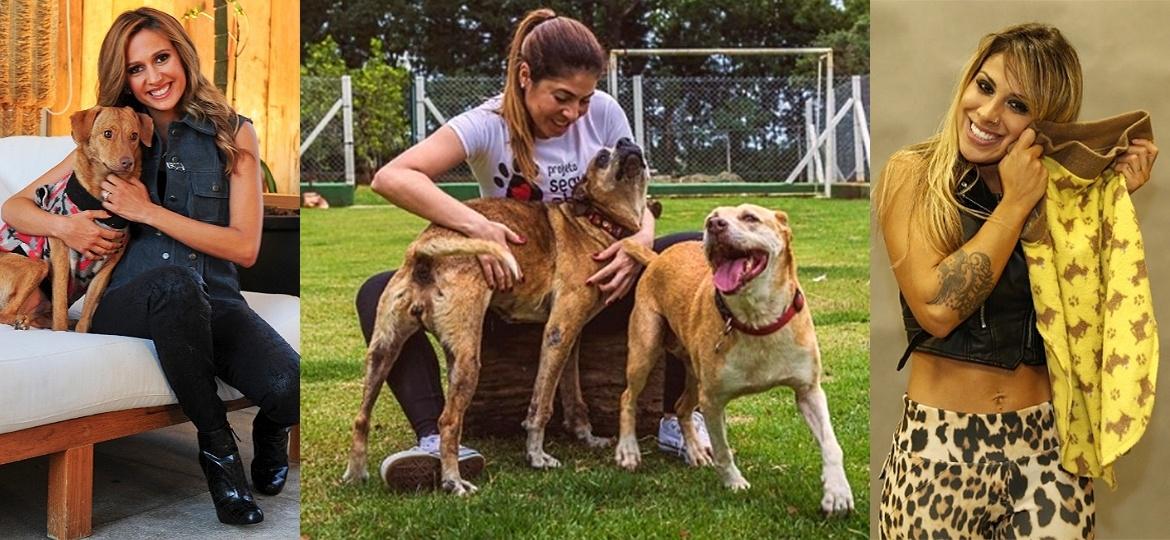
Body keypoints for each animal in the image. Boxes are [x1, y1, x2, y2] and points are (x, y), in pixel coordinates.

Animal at [0, 105, 152, 331]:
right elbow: (61, 306)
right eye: (108, 133)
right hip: (38, 265)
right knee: (5, 314)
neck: (100, 198)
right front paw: (61, 330)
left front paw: (80, 330)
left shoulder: (108, 265)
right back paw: (21, 322)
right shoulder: (61, 253)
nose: (128, 163)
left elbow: (87, 313)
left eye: (134, 136)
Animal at [341, 137, 650, 493]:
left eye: (627, 142)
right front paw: (536, 456)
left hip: (383, 351)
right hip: (466, 360)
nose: (626, 142)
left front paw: (586, 436)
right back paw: (453, 480)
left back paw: (355, 473)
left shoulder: (571, 339)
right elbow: (541, 404)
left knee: (361, 417)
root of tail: (423, 252)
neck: (594, 220)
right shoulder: (557, 333)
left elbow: (574, 397)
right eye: (601, 157)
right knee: (448, 421)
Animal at [617, 203, 856, 514]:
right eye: (710, 217)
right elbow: (722, 449)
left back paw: (694, 451)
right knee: (627, 397)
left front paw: (837, 492)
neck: (757, 321)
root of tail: (658, 257)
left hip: (693, 374)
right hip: (645, 350)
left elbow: (831, 443)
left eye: (750, 217)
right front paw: (734, 482)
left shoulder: (809, 391)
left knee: (681, 407)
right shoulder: (712, 400)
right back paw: (628, 451)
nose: (714, 225)